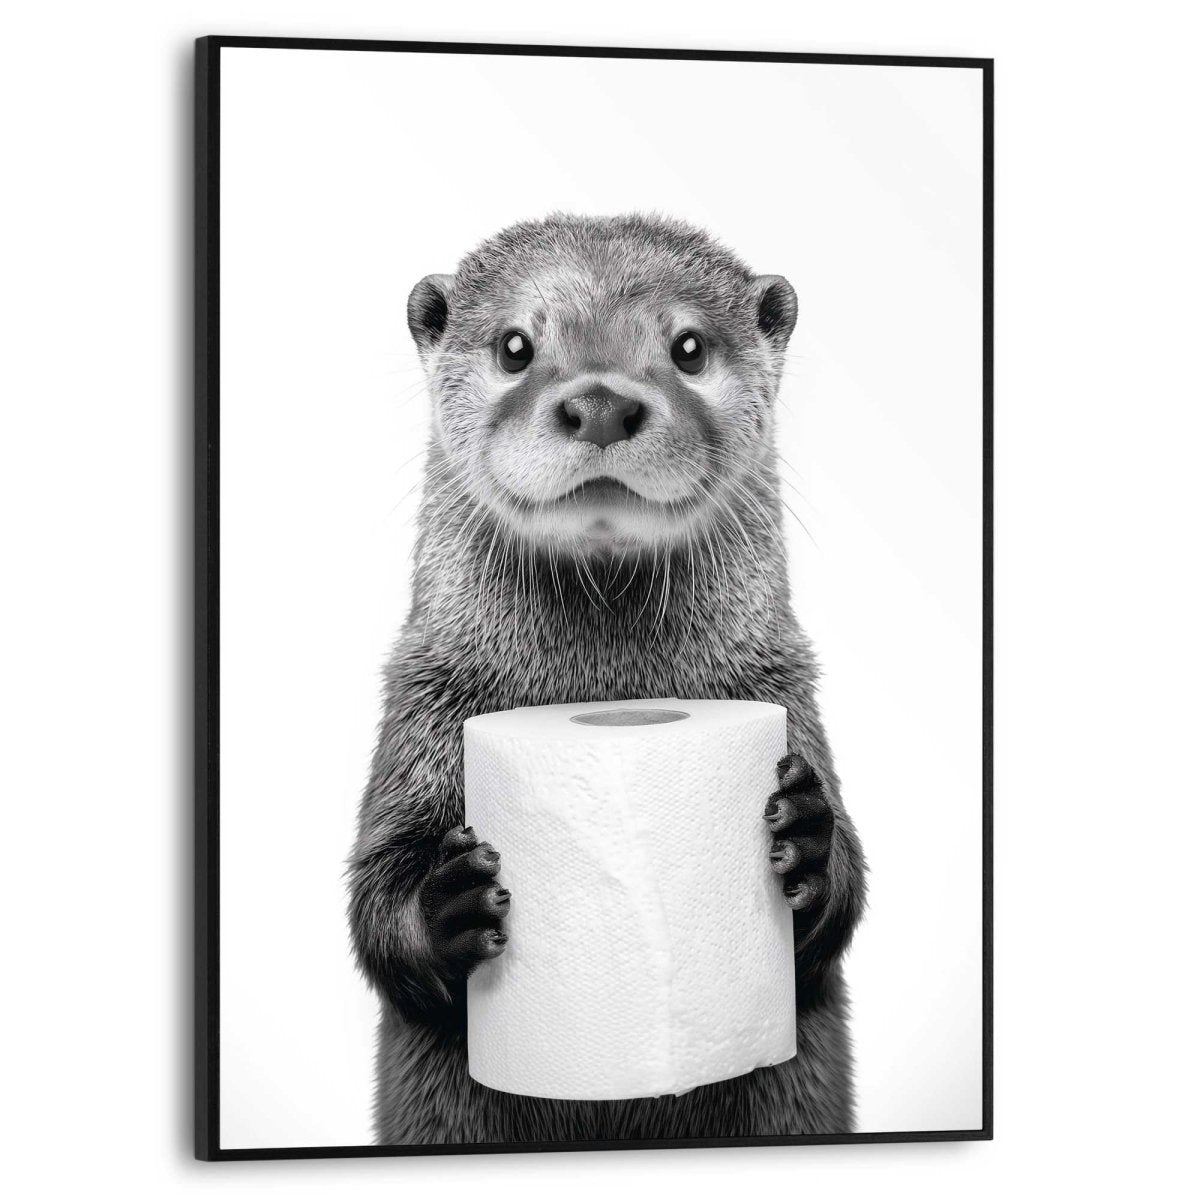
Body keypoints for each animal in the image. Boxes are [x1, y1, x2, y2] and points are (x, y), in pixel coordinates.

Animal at [349, 213, 866, 1145]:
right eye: (515, 345)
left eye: (688, 347)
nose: (599, 403)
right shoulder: (422, 705)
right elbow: (375, 899)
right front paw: (450, 903)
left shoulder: (783, 689)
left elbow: (838, 912)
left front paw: (808, 837)